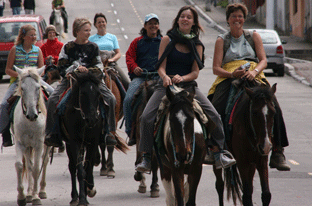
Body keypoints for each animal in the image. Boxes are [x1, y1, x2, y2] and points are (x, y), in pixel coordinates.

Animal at [12, 66, 50, 206]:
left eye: (37, 88)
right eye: (22, 88)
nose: (32, 114)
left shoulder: (39, 144)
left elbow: (36, 168)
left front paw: (35, 197)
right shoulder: (20, 143)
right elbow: (20, 166)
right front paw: (22, 196)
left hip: (46, 145)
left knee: (44, 161)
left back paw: (42, 190)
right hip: (28, 146)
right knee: (28, 166)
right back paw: (28, 193)